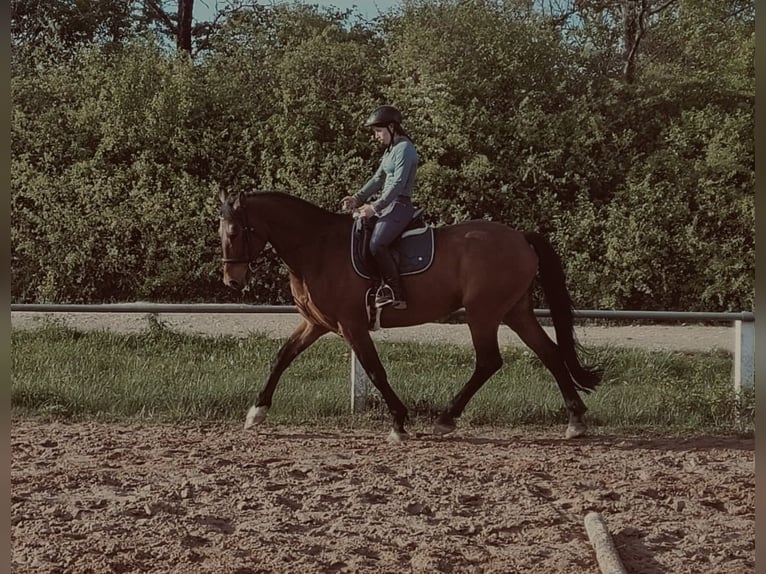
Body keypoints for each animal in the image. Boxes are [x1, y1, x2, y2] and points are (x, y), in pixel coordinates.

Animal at [219, 191, 604, 444]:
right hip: (516, 311)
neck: (317, 248)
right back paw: (575, 420)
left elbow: (375, 370)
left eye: (235, 232)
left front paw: (399, 423)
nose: (231, 281)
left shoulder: (352, 325)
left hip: (483, 313)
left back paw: (446, 419)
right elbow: (282, 357)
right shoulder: (316, 323)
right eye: (220, 232)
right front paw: (256, 412)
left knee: (489, 361)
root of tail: (520, 237)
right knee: (549, 353)